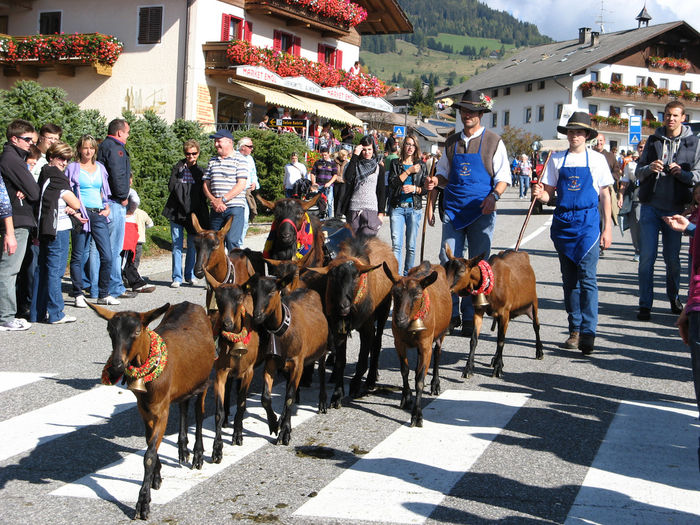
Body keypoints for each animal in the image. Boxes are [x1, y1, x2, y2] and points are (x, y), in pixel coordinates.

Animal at [87, 300, 215, 516]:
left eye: (137, 331)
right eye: (110, 331)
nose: (116, 367)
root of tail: (191, 304)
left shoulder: (161, 409)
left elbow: (149, 455)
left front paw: (143, 503)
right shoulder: (144, 407)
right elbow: (150, 444)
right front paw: (157, 476)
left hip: (204, 381)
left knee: (199, 413)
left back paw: (197, 455)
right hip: (185, 383)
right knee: (184, 404)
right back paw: (183, 449)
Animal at [245, 272, 330, 444]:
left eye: (272, 292)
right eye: (253, 292)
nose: (257, 316)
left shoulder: (297, 362)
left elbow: (289, 397)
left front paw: (285, 432)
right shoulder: (271, 362)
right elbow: (265, 397)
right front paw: (273, 423)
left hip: (322, 349)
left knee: (322, 371)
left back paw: (323, 402)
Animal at [308, 236, 396, 406]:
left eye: (356, 277)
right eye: (332, 278)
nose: (343, 305)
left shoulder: (367, 327)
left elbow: (362, 359)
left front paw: (355, 386)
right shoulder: (338, 330)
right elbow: (341, 361)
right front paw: (337, 395)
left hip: (384, 310)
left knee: (377, 343)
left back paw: (370, 380)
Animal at [380, 262, 452, 426]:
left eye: (417, 294)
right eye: (394, 293)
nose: (399, 320)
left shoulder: (426, 345)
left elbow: (419, 379)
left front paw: (417, 415)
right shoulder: (399, 342)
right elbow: (404, 370)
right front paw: (406, 398)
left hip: (441, 333)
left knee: (437, 353)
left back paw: (435, 384)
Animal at [442, 248, 540, 378]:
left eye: (461, 271)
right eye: (445, 268)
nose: (445, 288)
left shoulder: (505, 312)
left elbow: (501, 340)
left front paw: (498, 368)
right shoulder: (479, 310)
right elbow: (474, 340)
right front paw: (468, 368)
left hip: (533, 301)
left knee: (536, 325)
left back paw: (539, 351)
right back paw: (495, 359)